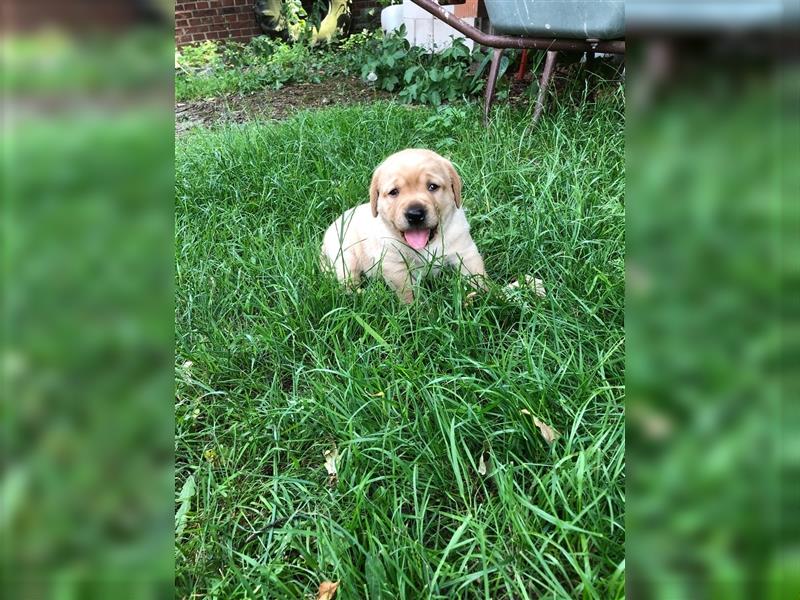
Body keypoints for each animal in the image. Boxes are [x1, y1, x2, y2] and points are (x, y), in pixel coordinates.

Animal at [320, 148, 484, 302]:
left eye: (432, 186)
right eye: (394, 192)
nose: (415, 214)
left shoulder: (465, 251)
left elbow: (477, 276)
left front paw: (485, 296)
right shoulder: (394, 265)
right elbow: (407, 292)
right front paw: (415, 310)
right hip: (345, 257)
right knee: (348, 283)